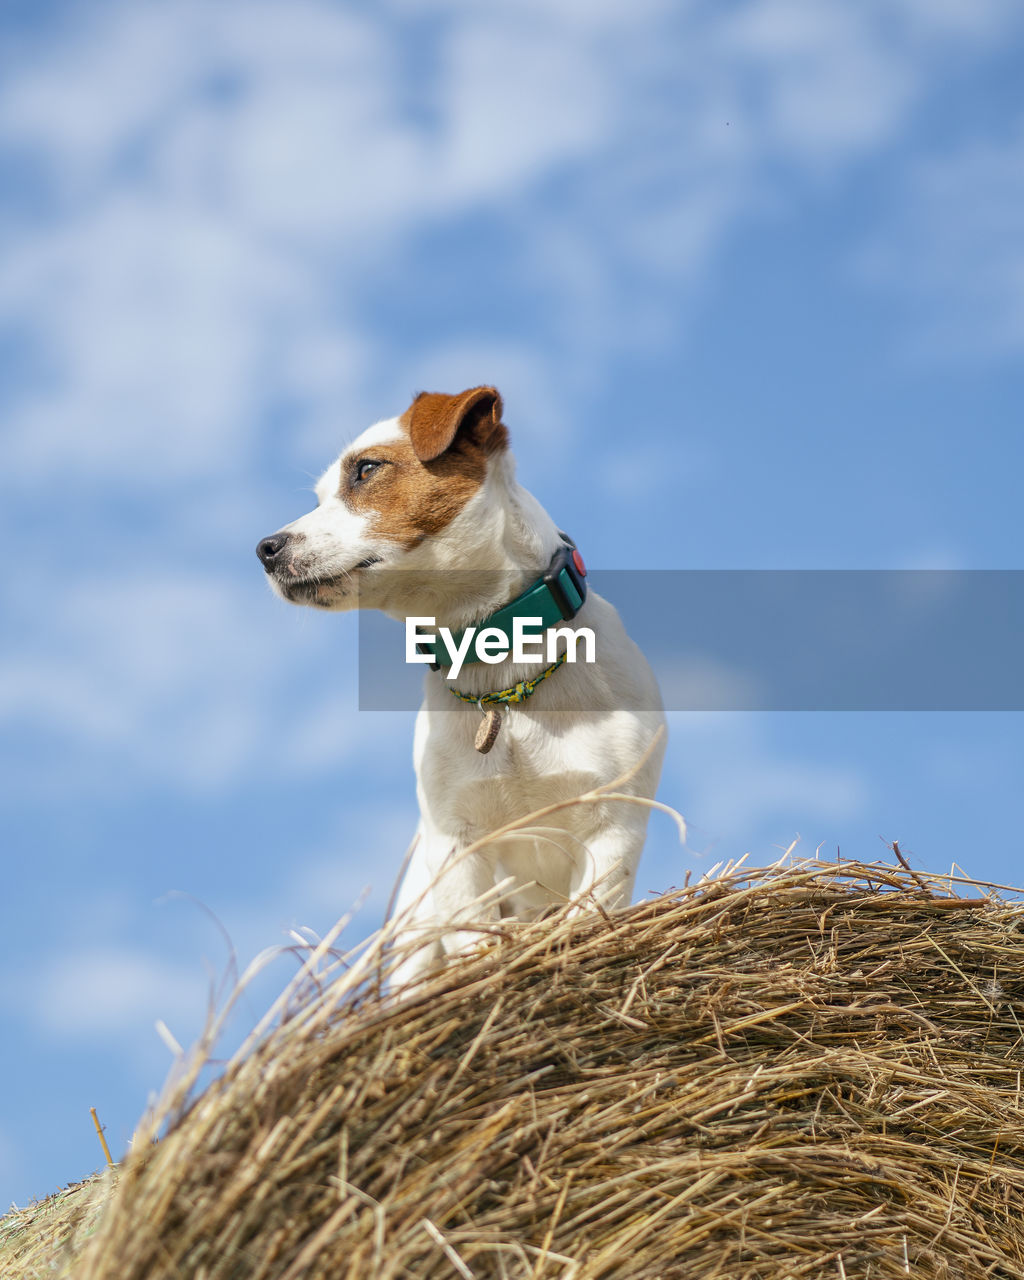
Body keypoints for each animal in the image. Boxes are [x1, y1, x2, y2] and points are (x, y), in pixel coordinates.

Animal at [258, 384, 665, 983]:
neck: (503, 679)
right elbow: (474, 939)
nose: (265, 549)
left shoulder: (612, 828)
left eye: (366, 469)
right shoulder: (456, 841)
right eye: (319, 496)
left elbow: (586, 918)